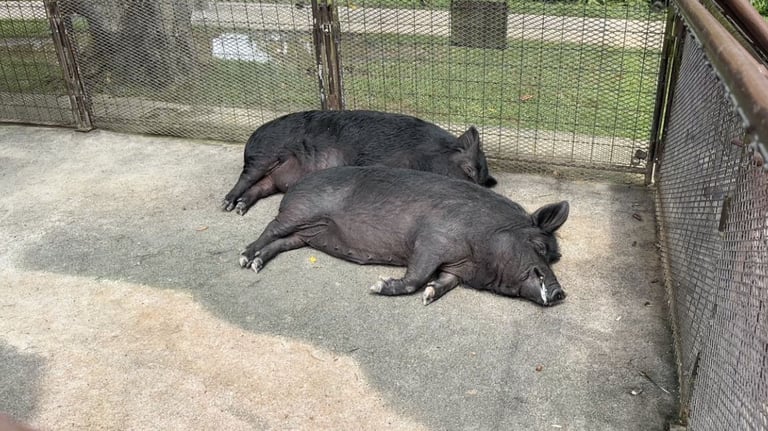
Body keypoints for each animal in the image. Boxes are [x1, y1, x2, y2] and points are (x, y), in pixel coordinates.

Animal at [221, 110, 497, 215]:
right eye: (469, 169)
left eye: (482, 178)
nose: (481, 192)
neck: (423, 153)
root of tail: (252, 136)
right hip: (263, 155)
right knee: (246, 178)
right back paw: (227, 205)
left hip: (277, 176)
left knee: (261, 186)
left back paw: (241, 208)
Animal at [238, 166, 569, 306]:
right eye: (540, 247)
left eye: (556, 257)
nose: (560, 293)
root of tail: (295, 185)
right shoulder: (431, 240)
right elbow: (416, 277)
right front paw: (377, 286)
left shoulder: (455, 269)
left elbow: (443, 282)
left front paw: (430, 296)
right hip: (299, 214)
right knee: (270, 228)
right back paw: (244, 258)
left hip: (307, 235)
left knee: (283, 243)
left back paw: (257, 264)